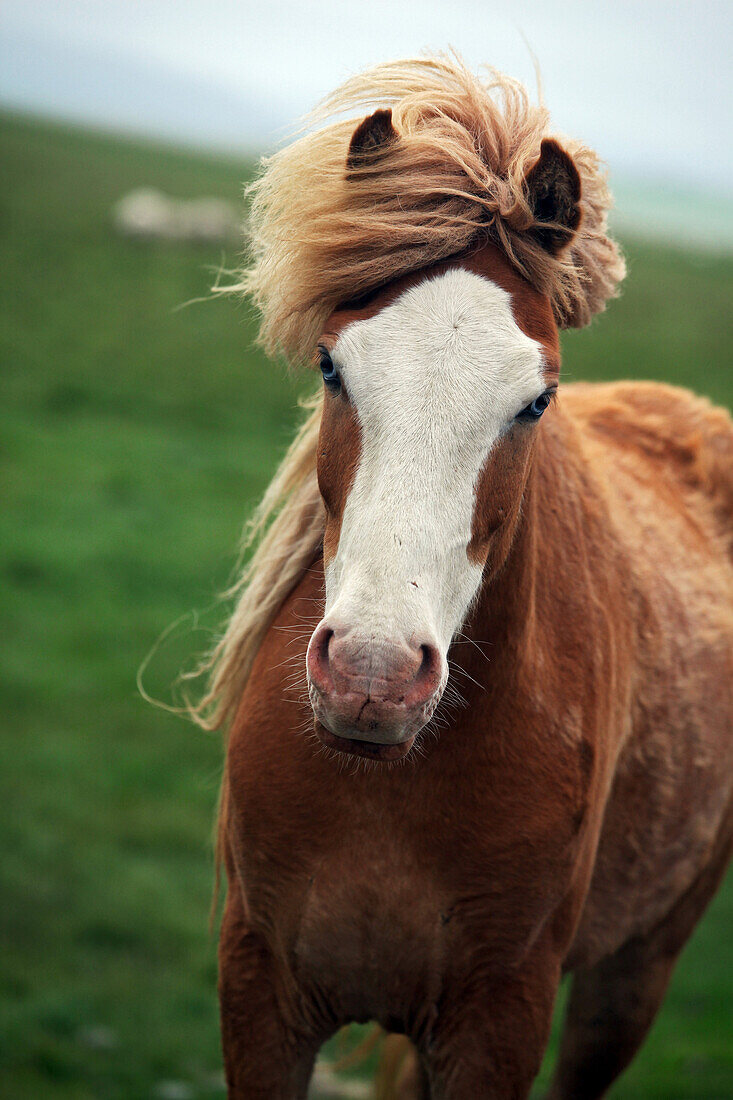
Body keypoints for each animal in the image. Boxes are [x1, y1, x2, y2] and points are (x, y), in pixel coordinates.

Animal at [193, 53, 730, 1100]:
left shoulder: (501, 1020)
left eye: (536, 401)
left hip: (632, 975)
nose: (371, 677)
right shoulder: (260, 993)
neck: (384, 797)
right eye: (331, 365)